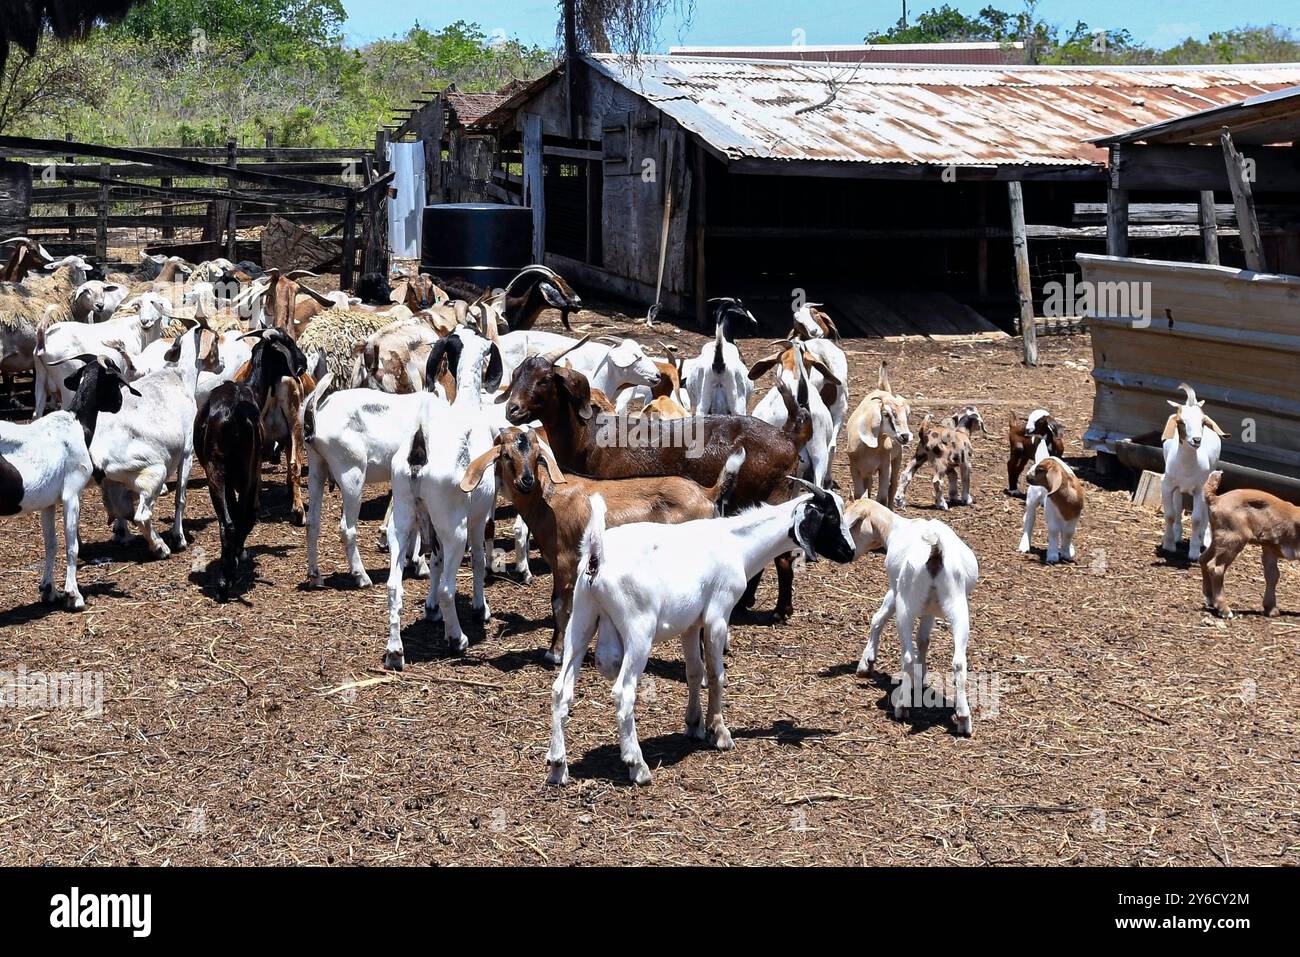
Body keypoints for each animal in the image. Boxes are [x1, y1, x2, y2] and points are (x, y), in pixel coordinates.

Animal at [546, 478, 857, 785]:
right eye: (831, 517)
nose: (850, 552)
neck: (738, 544)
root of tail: (596, 554)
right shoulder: (718, 615)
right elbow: (716, 674)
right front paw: (719, 732)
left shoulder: (690, 624)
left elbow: (694, 671)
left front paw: (694, 724)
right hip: (638, 630)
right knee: (624, 693)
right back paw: (638, 766)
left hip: (582, 620)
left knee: (562, 689)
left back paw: (557, 766)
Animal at [847, 496, 977, 738]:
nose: (848, 553)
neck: (896, 528)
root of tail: (935, 551)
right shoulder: (929, 610)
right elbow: (924, 639)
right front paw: (922, 676)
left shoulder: (895, 589)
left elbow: (878, 618)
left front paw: (866, 664)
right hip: (958, 606)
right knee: (959, 662)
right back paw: (964, 719)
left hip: (906, 604)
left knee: (906, 655)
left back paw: (902, 707)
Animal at [1164, 382, 1222, 561]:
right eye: (1180, 421)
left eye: (1203, 422)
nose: (1196, 440)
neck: (1187, 467)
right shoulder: (1166, 485)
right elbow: (1169, 514)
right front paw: (1168, 545)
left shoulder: (1199, 489)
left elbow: (1196, 519)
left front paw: (1194, 552)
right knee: (1177, 503)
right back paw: (1177, 534)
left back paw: (1205, 538)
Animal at [1196, 470, 1300, 621]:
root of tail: (1216, 499)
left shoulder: (1269, 547)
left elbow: (1272, 575)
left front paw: (1271, 609)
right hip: (1234, 538)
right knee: (1216, 568)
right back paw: (1224, 610)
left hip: (1220, 538)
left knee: (1203, 559)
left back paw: (1210, 599)